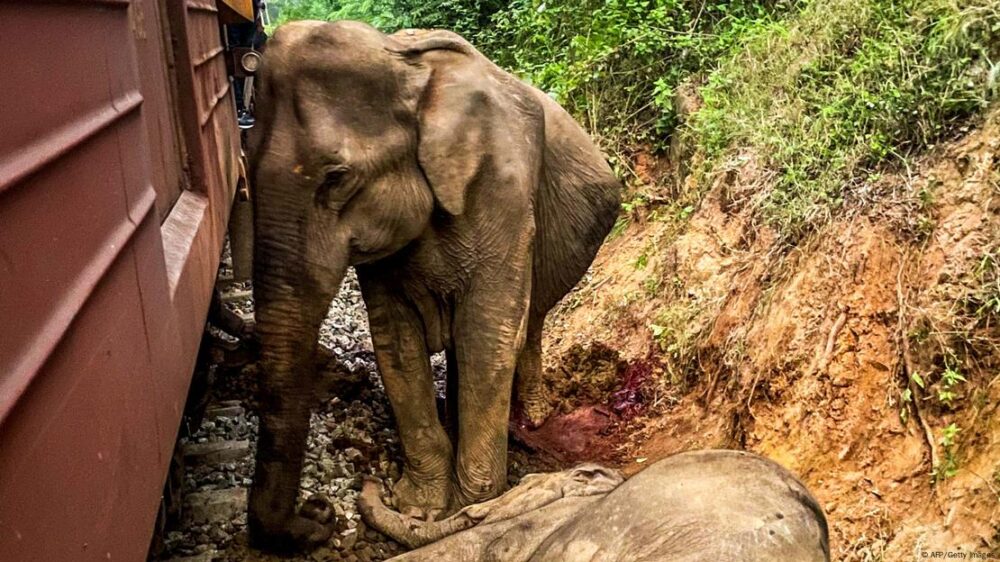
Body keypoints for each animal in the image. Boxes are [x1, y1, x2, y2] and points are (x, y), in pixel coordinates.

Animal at [246, 19, 620, 548]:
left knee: (526, 324)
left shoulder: (503, 191)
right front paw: (421, 506)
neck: (409, 68)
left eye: (337, 178)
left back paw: (530, 416)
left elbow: (487, 334)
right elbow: (395, 341)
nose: (319, 512)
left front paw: (470, 504)